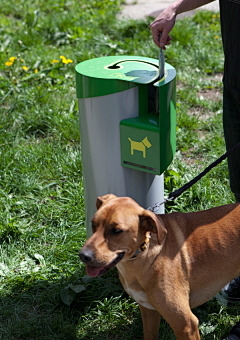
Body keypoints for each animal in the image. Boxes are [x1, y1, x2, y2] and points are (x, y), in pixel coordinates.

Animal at [79, 194, 240, 340]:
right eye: (93, 223)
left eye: (117, 230)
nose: (83, 255)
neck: (143, 254)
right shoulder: (148, 311)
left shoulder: (186, 325)